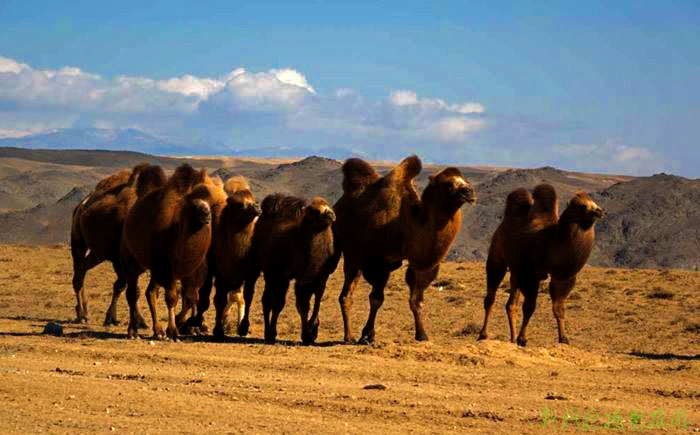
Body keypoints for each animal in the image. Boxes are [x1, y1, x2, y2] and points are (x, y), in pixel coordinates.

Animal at [70, 164, 165, 328]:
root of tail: (81, 205)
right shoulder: (120, 260)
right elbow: (125, 287)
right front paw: (113, 318)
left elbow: (129, 287)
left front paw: (138, 320)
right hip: (78, 242)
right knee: (78, 275)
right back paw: (82, 314)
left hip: (98, 253)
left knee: (83, 268)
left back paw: (85, 312)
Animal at [120, 164, 227, 340]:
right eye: (195, 205)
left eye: (207, 203)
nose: (207, 215)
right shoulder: (166, 267)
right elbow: (172, 298)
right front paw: (174, 330)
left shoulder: (190, 271)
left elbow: (190, 297)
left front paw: (184, 325)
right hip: (131, 261)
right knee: (132, 293)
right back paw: (133, 331)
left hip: (155, 269)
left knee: (151, 292)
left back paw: (158, 331)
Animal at [242, 193, 338, 344]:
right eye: (313, 211)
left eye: (328, 205)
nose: (330, 214)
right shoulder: (281, 276)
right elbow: (279, 304)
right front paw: (272, 334)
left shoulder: (311, 278)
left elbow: (306, 304)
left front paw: (308, 335)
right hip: (257, 266)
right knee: (250, 293)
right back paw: (244, 328)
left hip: (270, 275)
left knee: (265, 299)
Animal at [334, 157, 476, 344]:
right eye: (448, 184)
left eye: (464, 179)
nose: (469, 191)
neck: (406, 225)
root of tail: (339, 204)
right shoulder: (377, 262)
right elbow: (376, 299)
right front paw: (367, 335)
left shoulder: (418, 264)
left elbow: (416, 300)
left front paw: (422, 335)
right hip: (345, 250)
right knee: (344, 292)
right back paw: (347, 336)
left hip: (355, 259)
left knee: (346, 295)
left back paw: (348, 336)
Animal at [478, 184, 604, 348]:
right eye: (582, 206)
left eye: (594, 202)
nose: (599, 211)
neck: (551, 243)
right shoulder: (530, 275)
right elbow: (530, 307)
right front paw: (522, 339)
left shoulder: (561, 278)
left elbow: (559, 308)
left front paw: (563, 338)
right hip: (496, 257)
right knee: (490, 297)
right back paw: (483, 335)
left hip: (516, 272)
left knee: (511, 305)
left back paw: (511, 339)